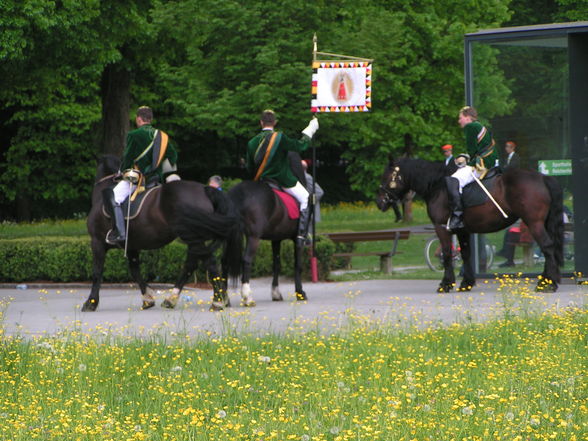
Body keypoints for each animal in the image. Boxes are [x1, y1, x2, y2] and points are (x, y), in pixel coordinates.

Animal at [84, 156, 241, 312]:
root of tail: (204, 189)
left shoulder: (97, 242)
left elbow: (97, 272)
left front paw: (91, 302)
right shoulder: (131, 246)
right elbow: (135, 271)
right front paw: (147, 298)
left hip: (192, 237)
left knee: (208, 263)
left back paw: (217, 301)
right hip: (193, 238)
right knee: (192, 264)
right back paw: (173, 299)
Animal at [376, 156, 564, 294]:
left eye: (386, 177)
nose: (380, 202)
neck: (437, 186)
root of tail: (542, 177)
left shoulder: (441, 228)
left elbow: (447, 254)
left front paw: (446, 283)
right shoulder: (462, 230)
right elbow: (466, 254)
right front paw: (466, 282)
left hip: (534, 223)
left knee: (547, 247)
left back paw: (548, 284)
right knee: (550, 248)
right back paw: (546, 280)